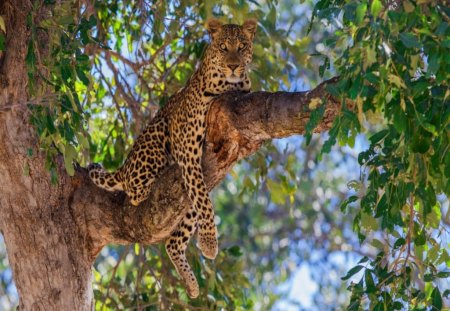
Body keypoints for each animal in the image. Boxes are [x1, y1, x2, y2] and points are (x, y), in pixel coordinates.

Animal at [87, 17, 256, 300]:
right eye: (223, 48)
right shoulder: (188, 153)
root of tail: (123, 166)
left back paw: (191, 284)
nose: (233, 65)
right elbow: (206, 203)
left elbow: (202, 200)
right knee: (136, 193)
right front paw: (209, 243)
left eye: (242, 46)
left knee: (173, 241)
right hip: (155, 143)